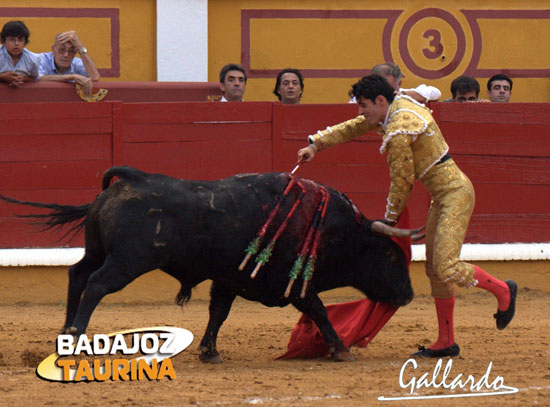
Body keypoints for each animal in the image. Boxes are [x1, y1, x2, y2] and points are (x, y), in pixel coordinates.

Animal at [2, 166, 414, 364]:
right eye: (392, 257)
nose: (409, 295)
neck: (331, 227)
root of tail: (131, 178)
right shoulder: (294, 282)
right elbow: (320, 311)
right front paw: (341, 350)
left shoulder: (228, 279)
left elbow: (218, 313)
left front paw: (209, 352)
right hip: (126, 262)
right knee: (97, 284)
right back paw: (77, 335)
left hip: (98, 250)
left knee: (77, 274)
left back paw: (66, 332)